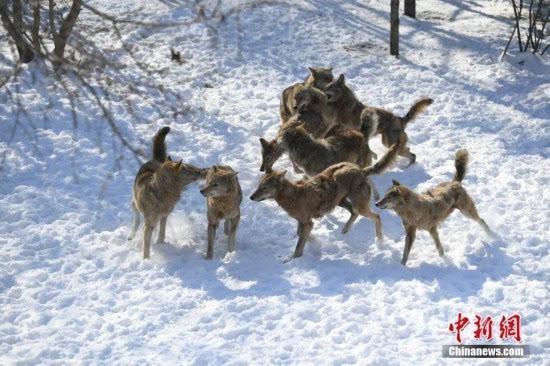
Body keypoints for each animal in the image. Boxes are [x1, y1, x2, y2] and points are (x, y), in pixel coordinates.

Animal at [128, 127, 210, 258]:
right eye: (185, 170)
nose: (197, 172)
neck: (161, 192)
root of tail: (156, 159)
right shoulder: (149, 223)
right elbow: (146, 246)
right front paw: (146, 259)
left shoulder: (164, 216)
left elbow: (162, 233)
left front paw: (159, 245)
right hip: (134, 204)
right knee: (136, 219)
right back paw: (131, 235)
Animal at [251, 144, 402, 262]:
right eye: (259, 186)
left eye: (264, 188)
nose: (251, 197)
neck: (293, 195)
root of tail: (360, 170)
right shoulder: (303, 222)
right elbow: (300, 234)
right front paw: (314, 241)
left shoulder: (307, 222)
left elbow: (299, 246)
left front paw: (292, 260)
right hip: (339, 201)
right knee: (354, 213)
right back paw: (345, 230)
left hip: (357, 205)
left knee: (376, 216)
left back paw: (380, 241)